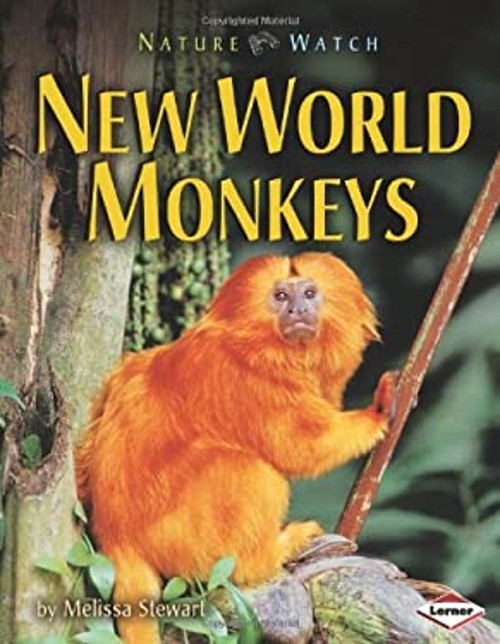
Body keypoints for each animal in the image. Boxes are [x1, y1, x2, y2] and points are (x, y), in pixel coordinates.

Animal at [76, 252, 396, 643]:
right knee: (249, 471)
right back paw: (271, 553)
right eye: (280, 297)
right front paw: (377, 412)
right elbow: (302, 447)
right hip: (175, 535)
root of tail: (117, 536)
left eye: (309, 292)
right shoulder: (250, 381)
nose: (298, 309)